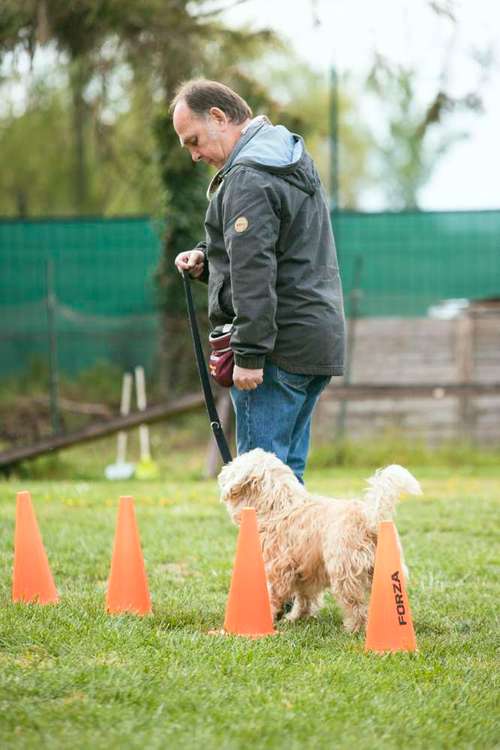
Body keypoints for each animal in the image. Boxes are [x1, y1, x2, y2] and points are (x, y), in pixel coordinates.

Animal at [220, 450, 422, 632]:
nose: (223, 471)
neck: (277, 506)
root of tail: (369, 518)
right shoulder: (306, 570)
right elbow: (304, 597)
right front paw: (297, 617)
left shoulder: (278, 569)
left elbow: (273, 595)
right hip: (383, 570)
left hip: (344, 571)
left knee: (356, 605)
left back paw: (354, 628)